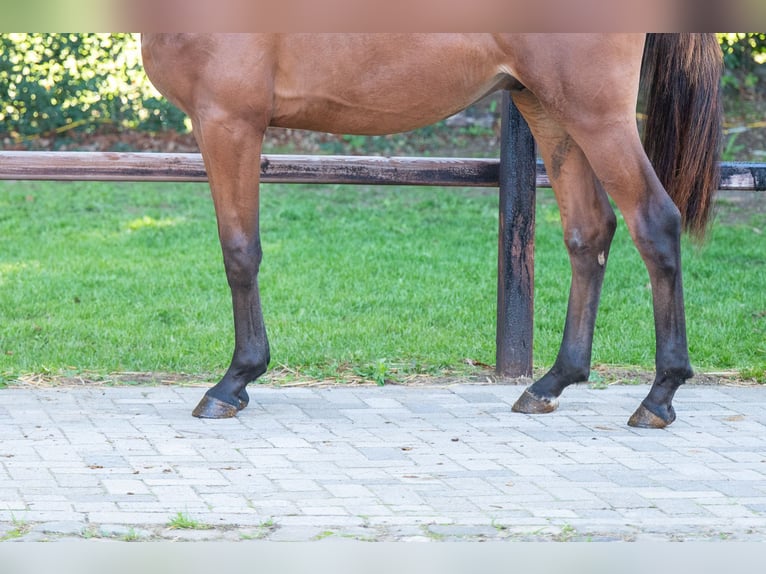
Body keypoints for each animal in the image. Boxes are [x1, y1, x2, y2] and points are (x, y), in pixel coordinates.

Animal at [141, 34, 722, 428]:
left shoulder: (228, 121)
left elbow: (240, 252)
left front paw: (234, 381)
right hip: (549, 109)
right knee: (589, 232)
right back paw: (551, 383)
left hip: (597, 114)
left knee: (654, 223)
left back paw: (659, 396)